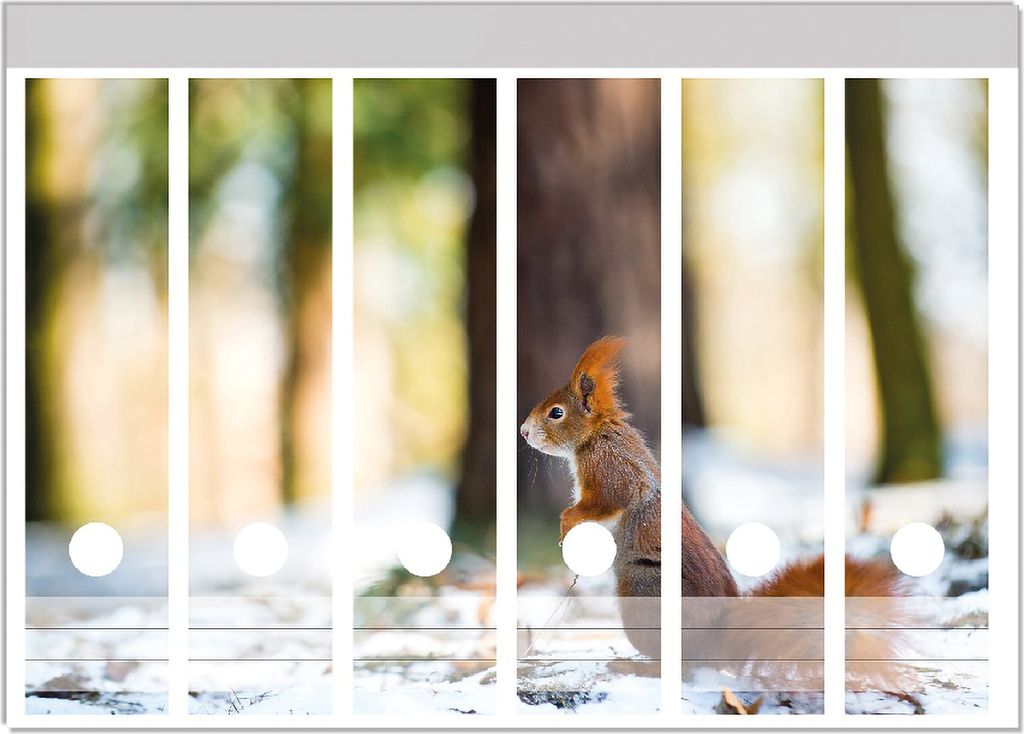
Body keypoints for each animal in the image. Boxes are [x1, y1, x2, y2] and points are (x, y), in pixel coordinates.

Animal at [520, 336, 905, 671]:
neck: (596, 435)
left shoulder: (611, 469)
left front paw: (566, 523)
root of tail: (718, 644)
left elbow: (606, 502)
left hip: (644, 597)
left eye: (556, 413)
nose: (523, 432)